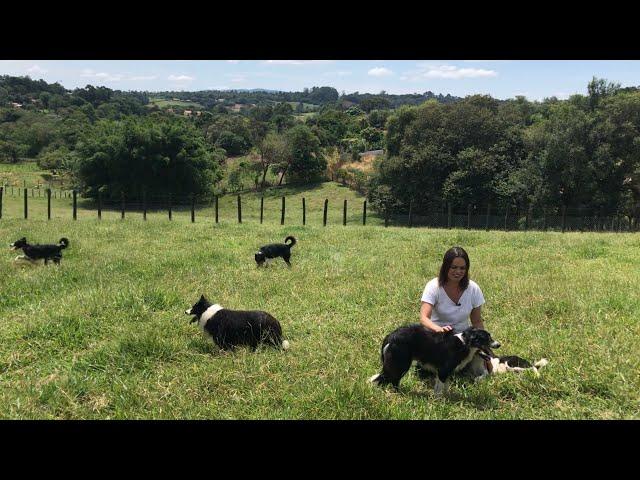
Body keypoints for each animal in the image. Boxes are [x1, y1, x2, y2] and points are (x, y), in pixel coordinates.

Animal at [370, 326, 500, 398]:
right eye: (487, 338)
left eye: (490, 337)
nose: (499, 344)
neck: (465, 343)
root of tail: (391, 336)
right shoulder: (443, 370)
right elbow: (441, 387)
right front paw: (440, 401)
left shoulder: (444, 371)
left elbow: (443, 386)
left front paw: (447, 397)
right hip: (401, 364)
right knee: (389, 379)